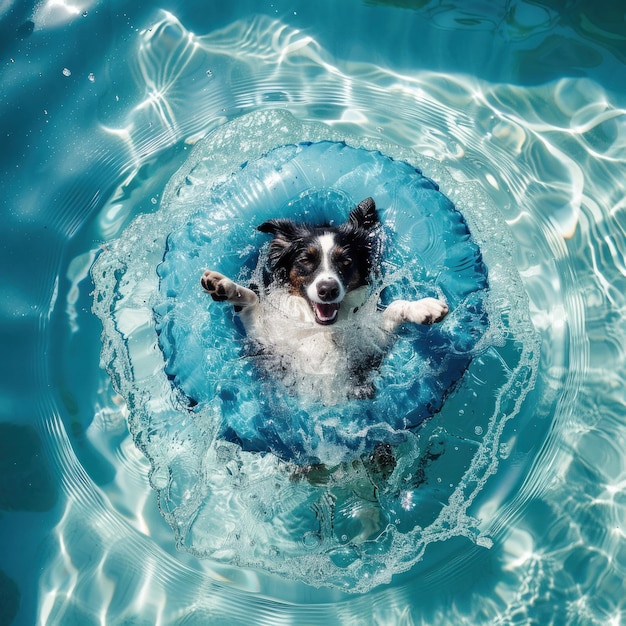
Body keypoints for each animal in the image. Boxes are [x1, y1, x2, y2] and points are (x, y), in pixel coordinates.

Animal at [197, 195, 446, 400]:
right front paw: (225, 286)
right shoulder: (269, 345)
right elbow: (252, 300)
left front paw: (423, 307)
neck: (321, 329)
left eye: (346, 261)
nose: (328, 290)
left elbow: (394, 307)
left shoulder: (368, 351)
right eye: (306, 260)